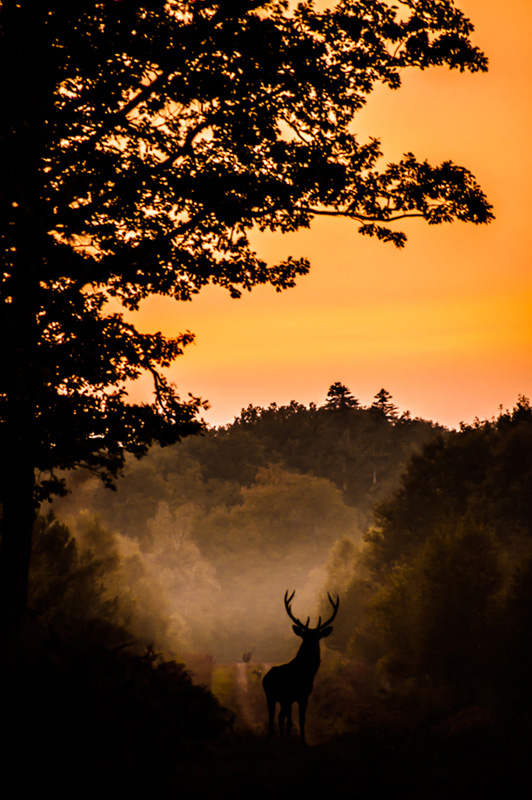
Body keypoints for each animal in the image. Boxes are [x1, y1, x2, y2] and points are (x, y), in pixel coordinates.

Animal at [262, 590, 339, 746]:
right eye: (305, 636)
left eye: (317, 637)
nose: (312, 647)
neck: (304, 674)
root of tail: (265, 677)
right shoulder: (289, 695)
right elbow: (290, 721)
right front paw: (290, 741)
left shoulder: (304, 696)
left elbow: (301, 720)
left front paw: (303, 742)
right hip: (270, 695)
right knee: (273, 718)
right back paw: (276, 738)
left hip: (281, 699)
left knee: (280, 717)